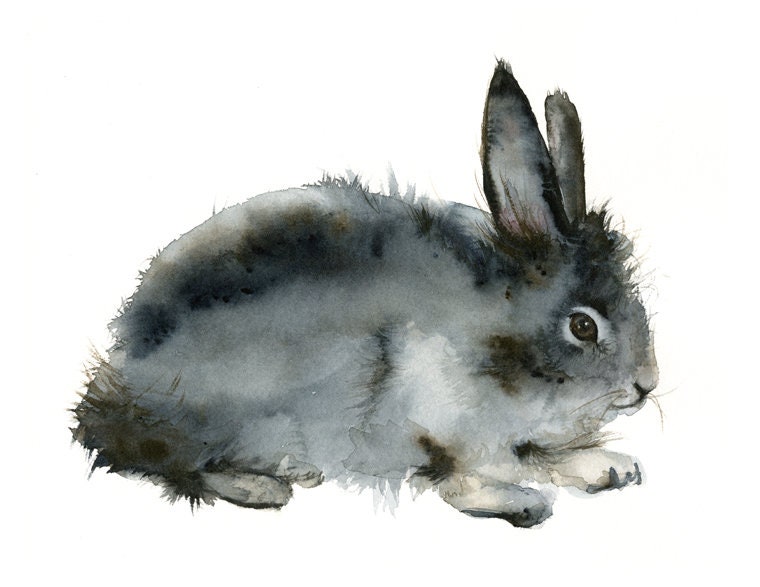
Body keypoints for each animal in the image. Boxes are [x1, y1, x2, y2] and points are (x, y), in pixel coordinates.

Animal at [72, 60, 658, 528]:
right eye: (582, 326)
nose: (646, 385)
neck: (493, 327)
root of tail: (121, 389)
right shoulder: (433, 426)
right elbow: (465, 478)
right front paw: (521, 502)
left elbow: (537, 453)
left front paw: (609, 466)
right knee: (169, 460)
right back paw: (263, 484)